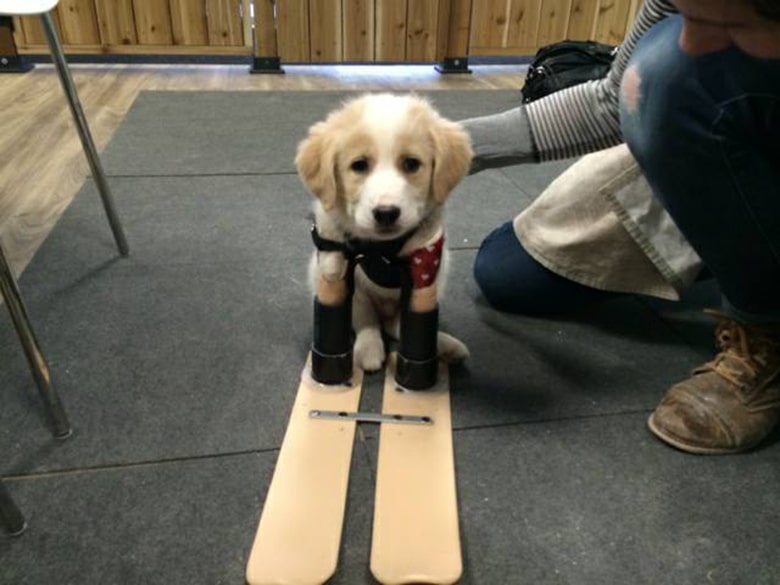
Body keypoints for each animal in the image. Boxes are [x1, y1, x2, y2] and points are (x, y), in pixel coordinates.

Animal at [296, 94, 472, 372]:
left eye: (411, 164)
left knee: (397, 325)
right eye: (359, 165)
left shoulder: (427, 266)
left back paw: (446, 346)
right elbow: (364, 317)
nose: (386, 213)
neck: (381, 248)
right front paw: (368, 348)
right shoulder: (340, 269)